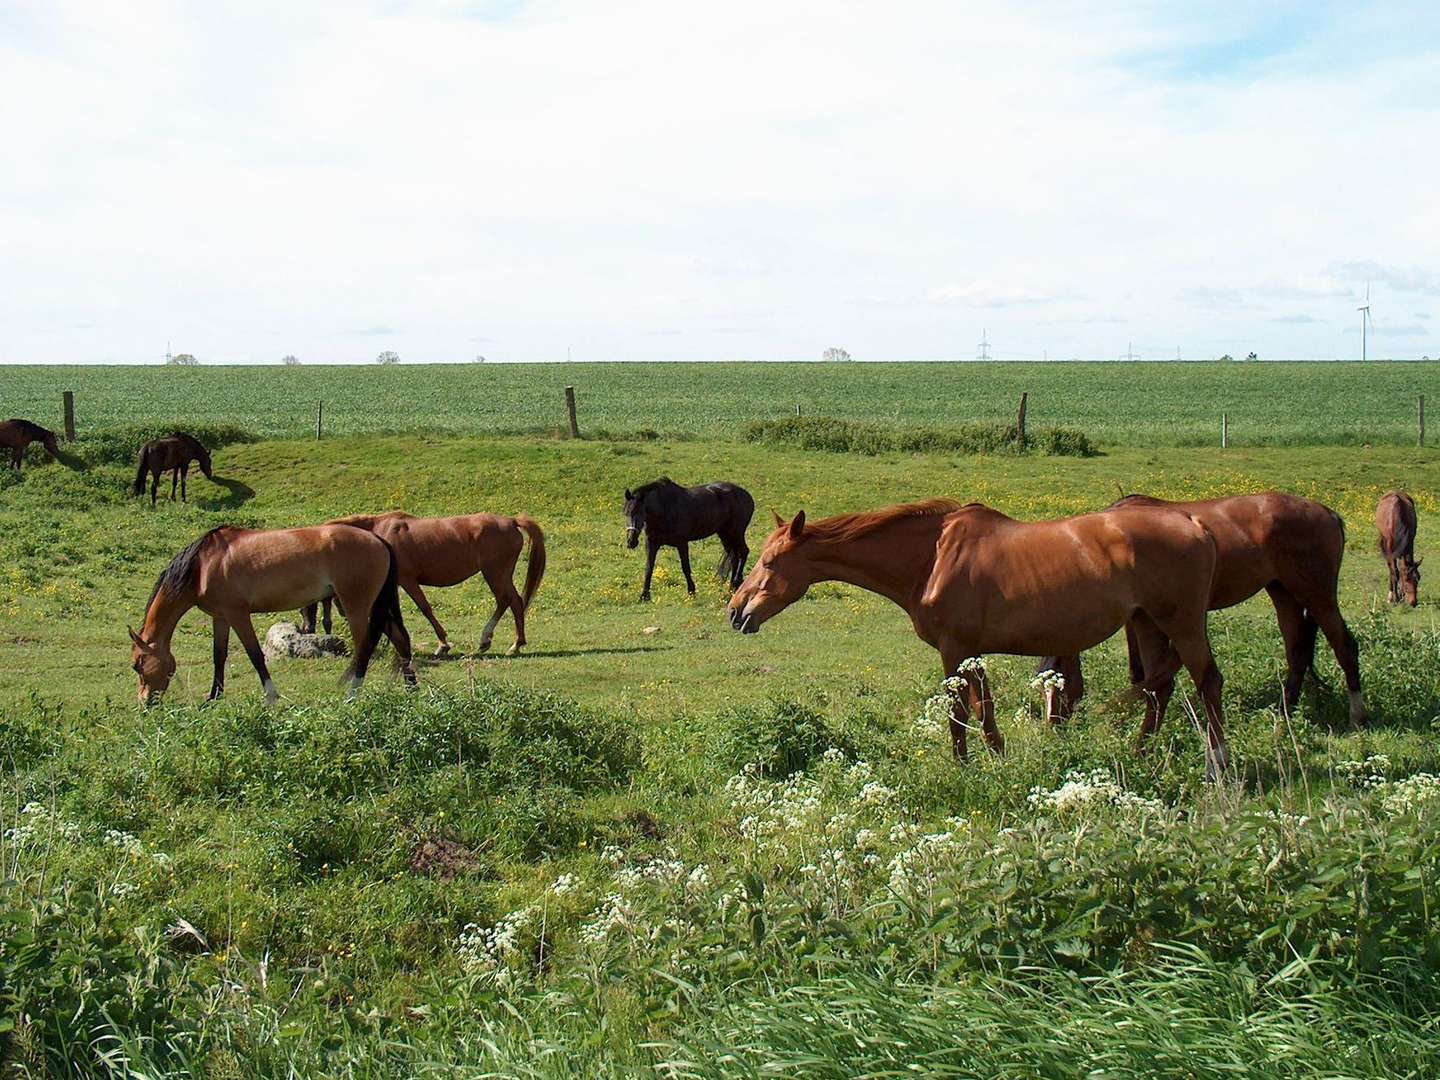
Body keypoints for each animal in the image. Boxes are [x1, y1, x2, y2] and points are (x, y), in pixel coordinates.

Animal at [128, 527, 417, 711]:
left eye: (136, 665)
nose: (144, 703)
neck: (204, 565)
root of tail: (379, 540)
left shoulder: (238, 615)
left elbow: (255, 655)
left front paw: (270, 697)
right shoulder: (220, 618)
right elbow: (218, 657)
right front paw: (213, 698)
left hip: (356, 606)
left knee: (365, 647)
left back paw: (352, 693)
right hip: (376, 606)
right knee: (400, 639)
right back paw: (411, 689)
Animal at [298, 512, 544, 656]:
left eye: (307, 606)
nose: (307, 629)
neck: (379, 533)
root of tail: (511, 522)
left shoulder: (407, 581)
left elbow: (425, 608)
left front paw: (442, 645)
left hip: (495, 573)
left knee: (510, 601)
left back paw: (509, 644)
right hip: (498, 574)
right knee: (509, 601)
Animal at [622, 480, 754, 604]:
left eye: (639, 512)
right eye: (626, 513)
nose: (631, 541)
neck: (665, 508)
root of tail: (747, 495)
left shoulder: (682, 543)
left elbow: (685, 568)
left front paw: (691, 592)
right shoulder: (651, 544)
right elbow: (648, 569)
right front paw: (644, 596)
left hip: (736, 533)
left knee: (743, 552)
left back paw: (735, 584)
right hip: (724, 534)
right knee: (734, 556)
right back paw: (732, 588)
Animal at [737, 498, 1232, 777]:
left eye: (770, 562)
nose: (736, 611)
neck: (930, 559)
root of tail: (1196, 525)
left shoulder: (955, 651)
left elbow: (960, 713)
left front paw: (964, 768)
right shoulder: (972, 653)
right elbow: (983, 711)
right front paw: (997, 758)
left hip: (1182, 622)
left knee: (1207, 682)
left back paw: (1218, 765)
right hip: (1147, 623)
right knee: (1159, 690)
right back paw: (1139, 753)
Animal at [1042, 495, 1365, 731]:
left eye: (1057, 684)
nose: (1052, 725)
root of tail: (1327, 513)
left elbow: (1142, 672)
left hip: (1317, 594)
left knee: (1345, 647)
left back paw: (1356, 717)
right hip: (1282, 591)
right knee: (1297, 651)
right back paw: (1284, 714)